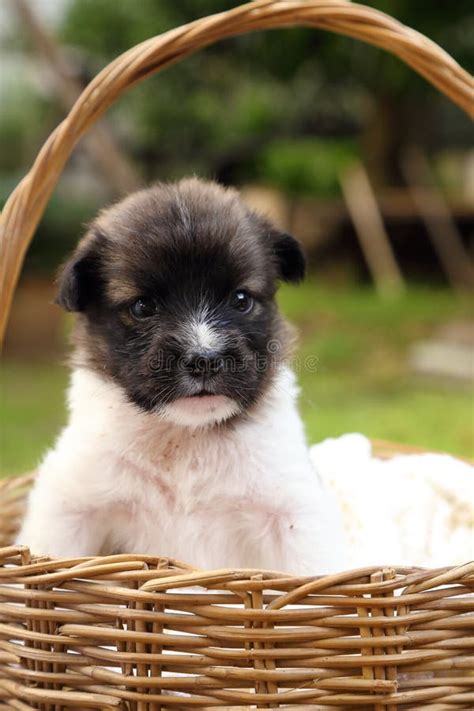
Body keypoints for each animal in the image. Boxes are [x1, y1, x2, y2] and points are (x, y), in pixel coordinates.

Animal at [17, 181, 348, 576]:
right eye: (142, 307)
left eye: (241, 300)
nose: (204, 360)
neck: (187, 440)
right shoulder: (69, 505)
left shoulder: (293, 511)